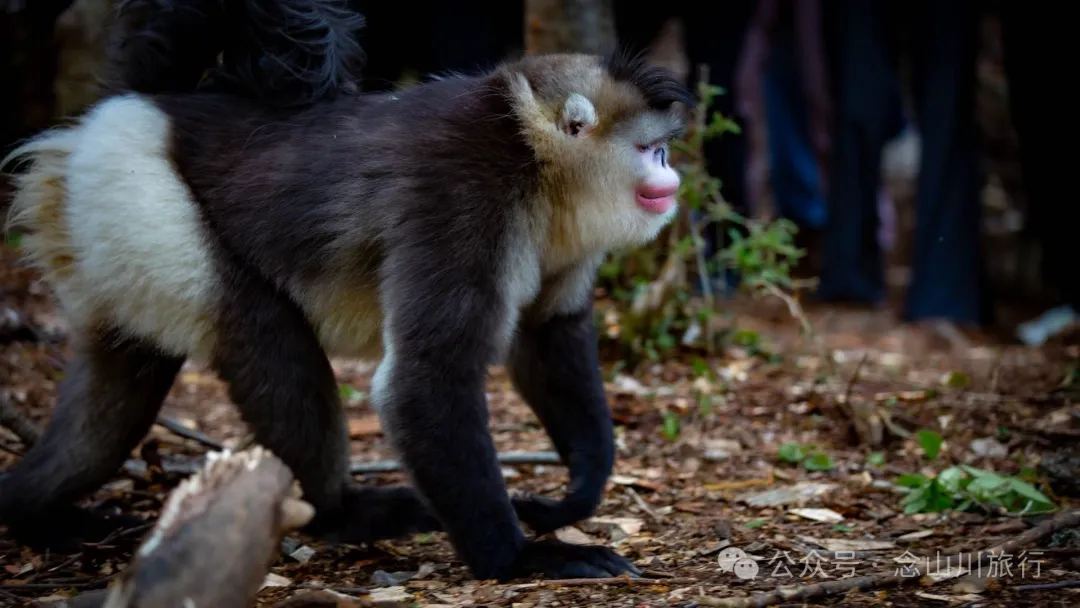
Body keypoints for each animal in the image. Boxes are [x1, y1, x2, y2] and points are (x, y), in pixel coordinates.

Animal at [0, 0, 693, 582]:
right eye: (650, 150)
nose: (673, 180)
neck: (527, 150)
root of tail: (144, 106)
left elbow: (550, 333)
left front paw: (578, 491)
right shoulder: (464, 200)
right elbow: (425, 379)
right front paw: (517, 560)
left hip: (111, 226)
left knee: (122, 381)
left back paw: (33, 512)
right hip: (144, 199)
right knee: (267, 336)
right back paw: (342, 514)